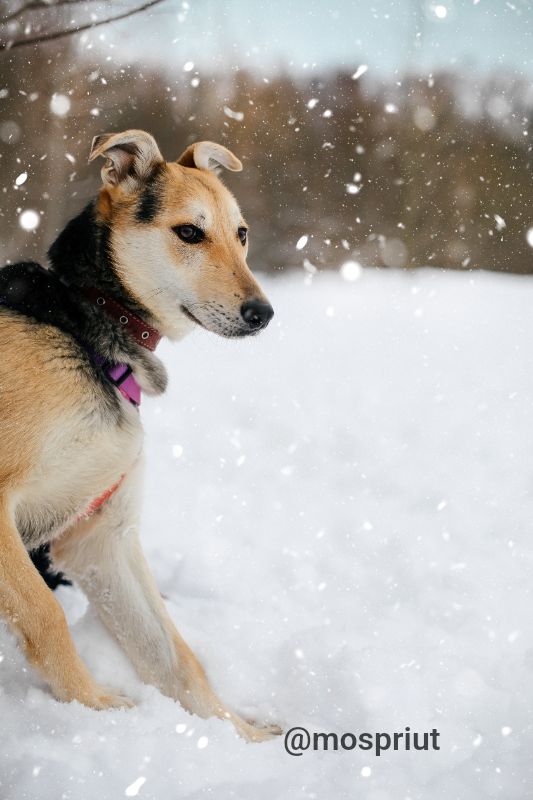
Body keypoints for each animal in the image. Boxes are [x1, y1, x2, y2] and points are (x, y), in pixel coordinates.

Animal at [0, 130, 280, 744]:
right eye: (189, 232)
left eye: (241, 233)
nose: (263, 312)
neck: (85, 323)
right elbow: (46, 616)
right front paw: (96, 711)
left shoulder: (101, 538)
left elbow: (175, 656)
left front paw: (236, 737)